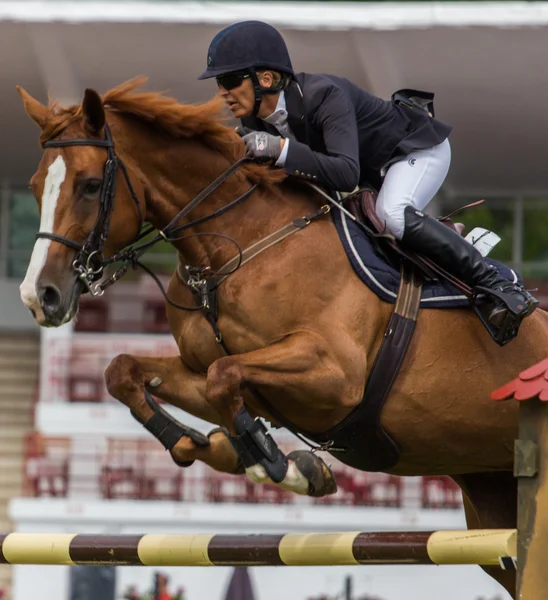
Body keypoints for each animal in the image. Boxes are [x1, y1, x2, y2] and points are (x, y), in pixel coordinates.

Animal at [16, 78, 548, 596]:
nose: (39, 296)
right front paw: (205, 446)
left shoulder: (335, 376)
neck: (233, 244)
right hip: (490, 492)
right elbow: (126, 371)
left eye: (89, 186)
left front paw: (284, 467)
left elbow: (223, 374)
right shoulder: (223, 376)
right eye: (36, 186)